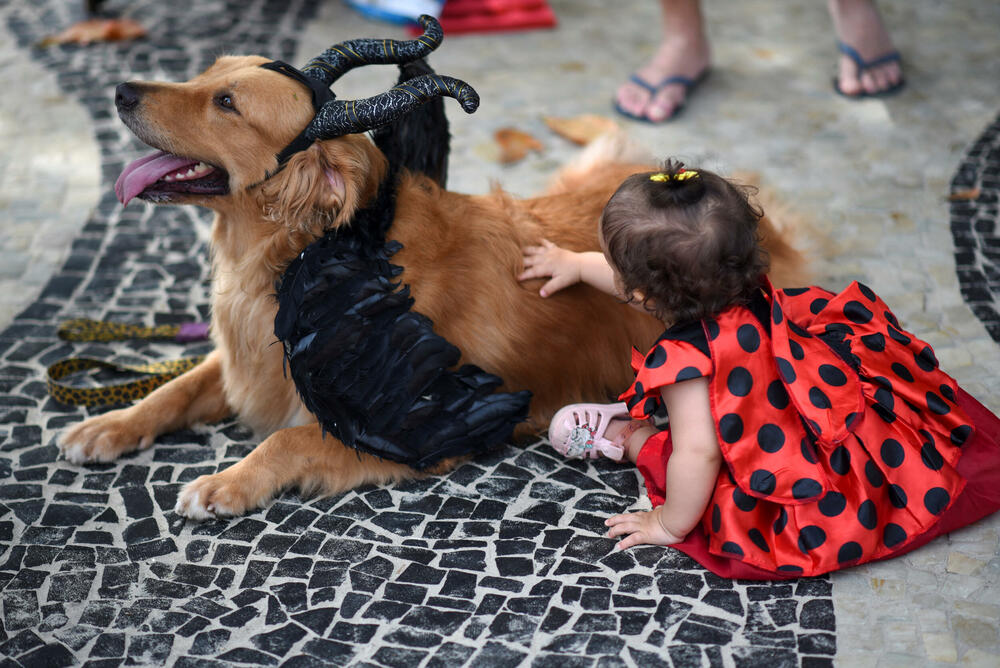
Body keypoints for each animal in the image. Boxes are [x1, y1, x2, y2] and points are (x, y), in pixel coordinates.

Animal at [58, 17, 804, 516]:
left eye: (226, 103)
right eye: (209, 73)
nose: (121, 89)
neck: (323, 254)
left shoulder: (420, 429)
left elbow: (288, 441)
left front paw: (226, 481)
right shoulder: (248, 360)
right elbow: (178, 386)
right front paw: (108, 424)